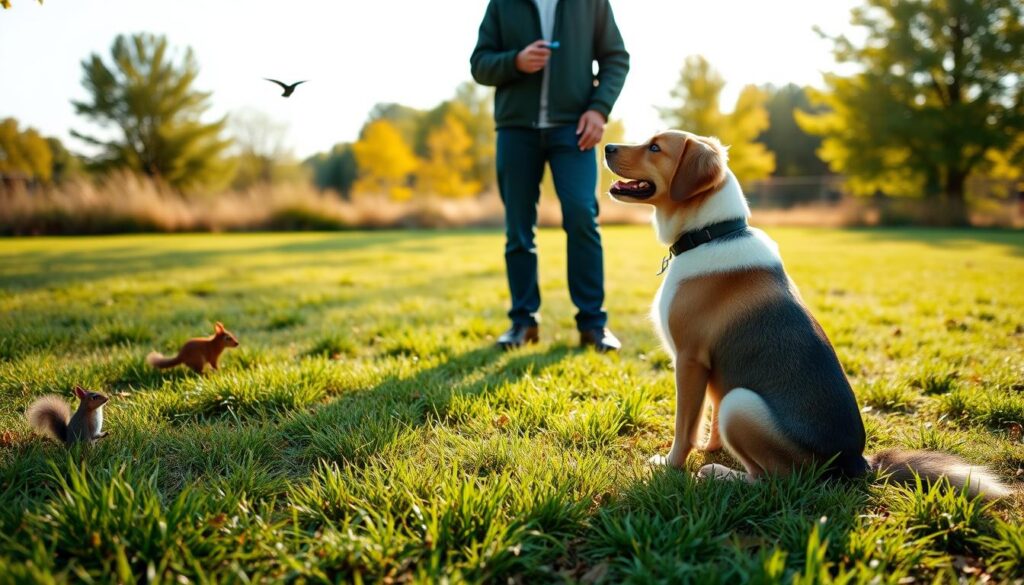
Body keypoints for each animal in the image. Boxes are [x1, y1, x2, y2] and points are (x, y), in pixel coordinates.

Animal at [602, 129, 1011, 499]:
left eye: (655, 147)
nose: (606, 146)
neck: (712, 233)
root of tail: (857, 463)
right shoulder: (717, 371)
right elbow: (709, 421)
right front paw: (711, 448)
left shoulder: (689, 361)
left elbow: (684, 426)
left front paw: (672, 465)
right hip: (735, 393)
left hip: (742, 403)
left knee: (774, 479)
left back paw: (720, 474)